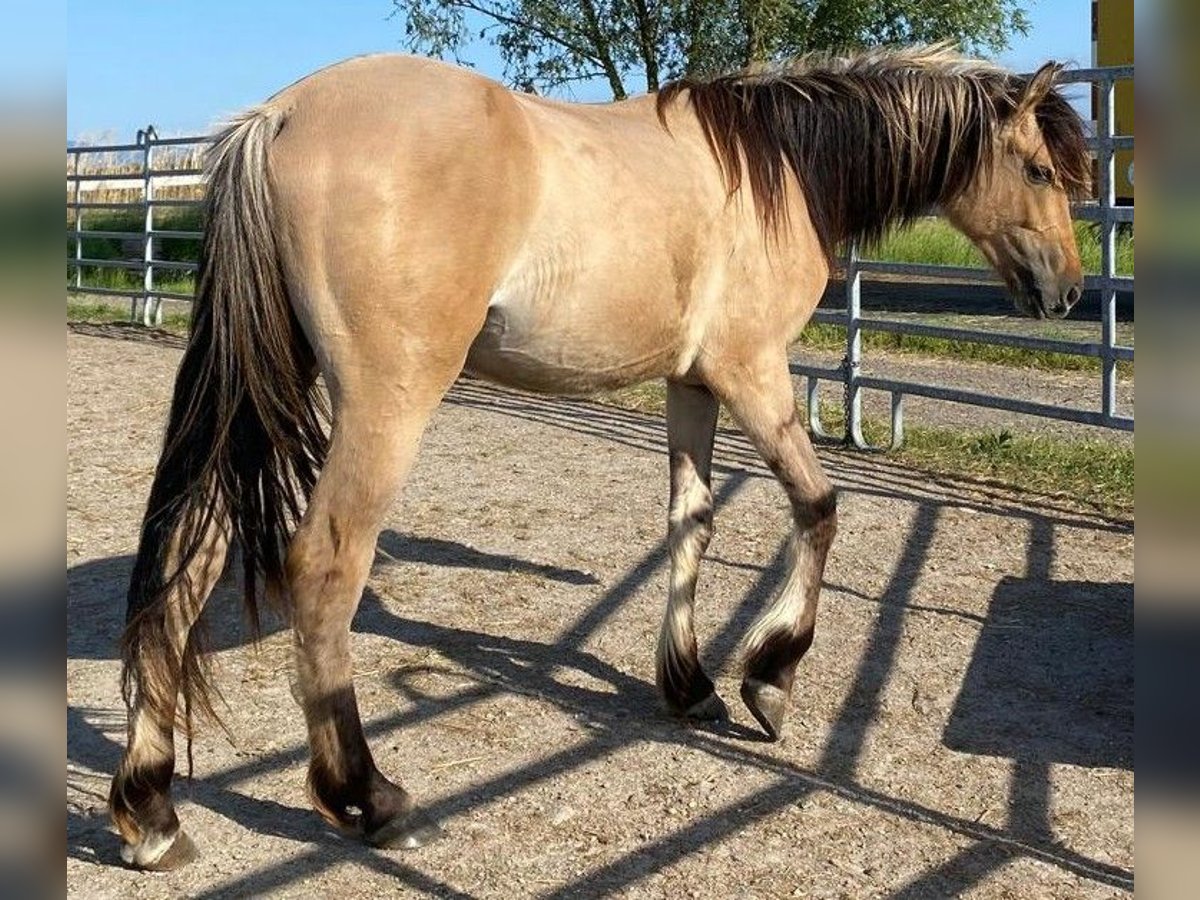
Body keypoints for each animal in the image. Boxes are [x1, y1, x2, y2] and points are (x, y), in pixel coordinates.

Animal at [107, 45, 1090, 869]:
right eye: (1039, 169)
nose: (1069, 291)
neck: (775, 168)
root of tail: (280, 116)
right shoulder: (751, 371)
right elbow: (818, 508)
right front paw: (769, 679)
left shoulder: (692, 384)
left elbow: (692, 522)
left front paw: (689, 685)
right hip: (387, 403)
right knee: (323, 566)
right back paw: (369, 796)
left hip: (263, 382)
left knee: (190, 553)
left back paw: (152, 813)